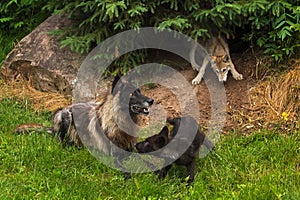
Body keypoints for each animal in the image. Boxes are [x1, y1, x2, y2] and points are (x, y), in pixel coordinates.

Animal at [14, 76, 154, 155]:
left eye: (140, 91)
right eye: (131, 94)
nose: (151, 100)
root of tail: (53, 128)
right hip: (66, 115)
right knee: (61, 141)